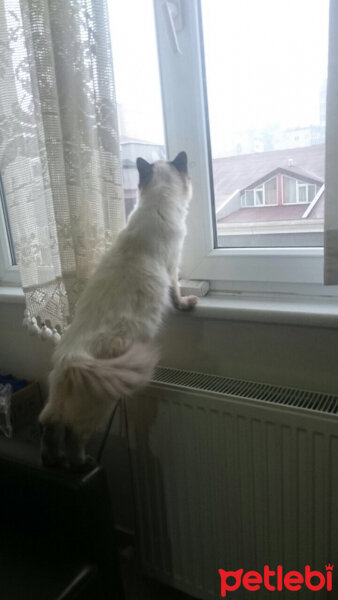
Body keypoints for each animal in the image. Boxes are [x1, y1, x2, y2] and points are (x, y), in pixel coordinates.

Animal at [39, 150, 198, 468]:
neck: (156, 202)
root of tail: (71, 359)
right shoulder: (172, 267)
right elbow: (177, 293)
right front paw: (188, 304)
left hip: (58, 402)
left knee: (51, 426)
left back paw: (53, 460)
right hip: (101, 405)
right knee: (75, 435)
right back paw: (84, 463)